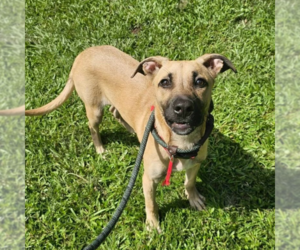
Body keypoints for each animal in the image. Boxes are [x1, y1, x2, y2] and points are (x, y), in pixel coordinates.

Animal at [25, 46, 237, 231]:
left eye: (200, 82)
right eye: (165, 82)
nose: (183, 108)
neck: (178, 144)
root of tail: (81, 55)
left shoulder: (195, 164)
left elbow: (189, 182)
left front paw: (193, 198)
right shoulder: (148, 179)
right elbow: (151, 204)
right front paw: (152, 225)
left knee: (115, 111)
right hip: (94, 109)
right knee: (93, 127)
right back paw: (100, 148)